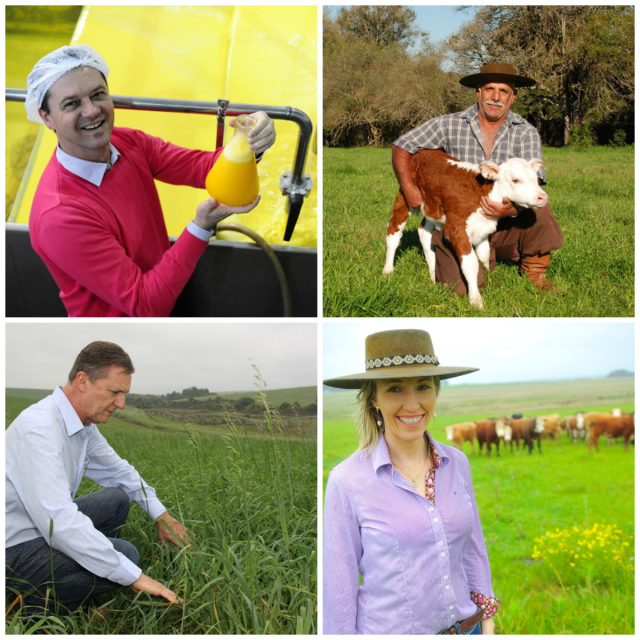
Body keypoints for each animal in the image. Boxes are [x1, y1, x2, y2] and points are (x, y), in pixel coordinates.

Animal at [382, 150, 548, 310]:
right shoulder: (456, 228)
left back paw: (433, 276)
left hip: (432, 208)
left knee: (424, 233)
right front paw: (476, 300)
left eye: (536, 179)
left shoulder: (482, 227)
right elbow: (471, 264)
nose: (543, 197)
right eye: (515, 180)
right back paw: (387, 270)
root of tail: (422, 152)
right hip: (405, 197)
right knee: (394, 231)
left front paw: (489, 277)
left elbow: (485, 255)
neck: (481, 192)